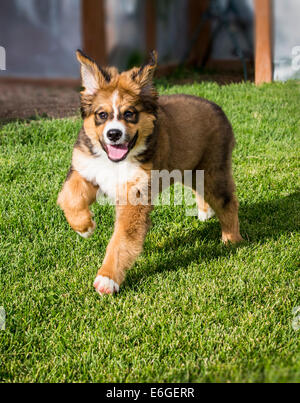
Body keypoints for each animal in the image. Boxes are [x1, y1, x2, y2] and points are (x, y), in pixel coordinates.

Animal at [57, 50, 243, 296]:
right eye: (102, 115)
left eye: (130, 114)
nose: (114, 134)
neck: (116, 161)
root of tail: (217, 107)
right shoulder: (86, 168)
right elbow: (70, 195)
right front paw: (84, 227)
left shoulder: (134, 198)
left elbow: (121, 240)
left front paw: (107, 278)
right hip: (190, 169)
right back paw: (205, 212)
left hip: (214, 168)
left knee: (227, 201)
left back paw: (231, 240)